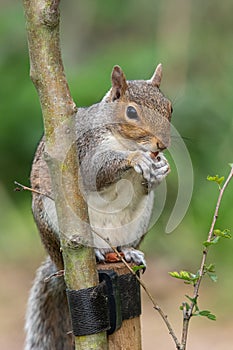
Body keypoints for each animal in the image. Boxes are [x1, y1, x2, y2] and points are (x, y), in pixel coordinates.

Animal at [24, 64, 172, 348]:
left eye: (170, 107)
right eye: (131, 112)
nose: (162, 145)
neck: (122, 141)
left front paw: (160, 170)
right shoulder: (85, 148)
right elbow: (97, 171)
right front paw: (136, 158)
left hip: (138, 224)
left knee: (124, 244)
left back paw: (128, 252)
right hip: (51, 220)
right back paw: (94, 253)